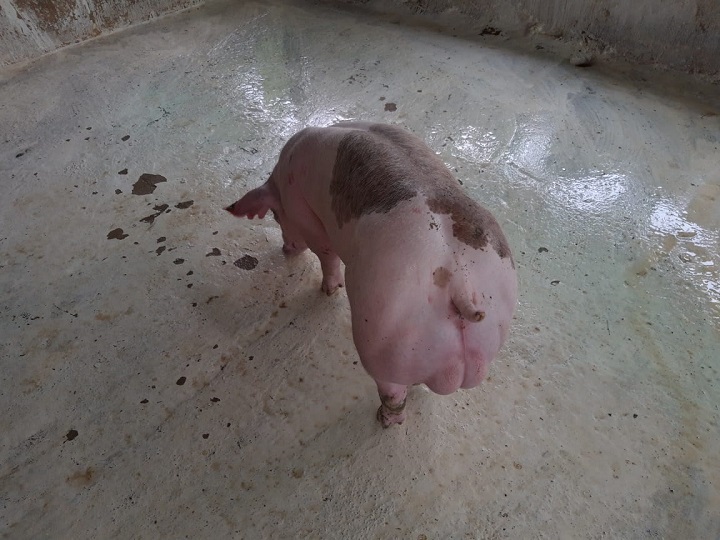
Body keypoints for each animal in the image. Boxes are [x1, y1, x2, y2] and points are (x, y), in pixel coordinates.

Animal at [226, 122, 517, 427]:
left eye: (275, 215)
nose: (286, 249)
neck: (282, 177)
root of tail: (459, 283)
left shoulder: (304, 212)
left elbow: (325, 253)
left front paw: (328, 290)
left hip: (380, 333)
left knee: (391, 390)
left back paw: (385, 421)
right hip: (489, 320)